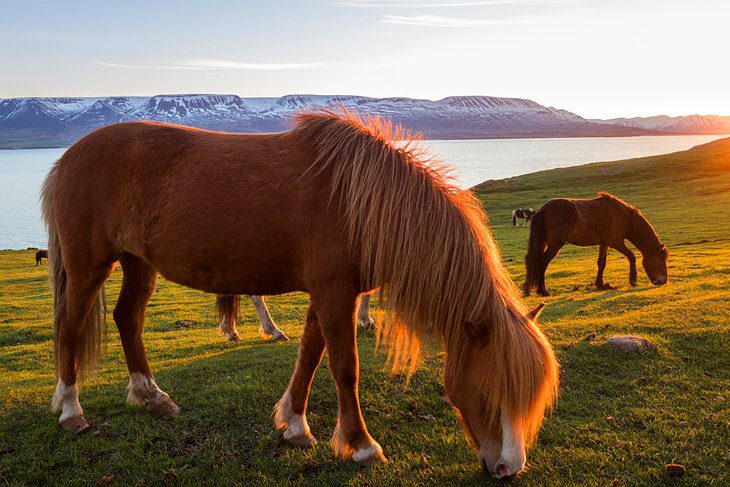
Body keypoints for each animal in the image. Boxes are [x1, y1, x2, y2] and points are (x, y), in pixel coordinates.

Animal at [520, 194, 668, 298]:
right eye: (660, 260)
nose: (663, 281)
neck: (624, 215)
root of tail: (543, 210)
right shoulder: (616, 242)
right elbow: (632, 257)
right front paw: (633, 280)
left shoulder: (604, 243)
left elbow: (601, 263)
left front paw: (600, 284)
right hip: (555, 245)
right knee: (542, 262)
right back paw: (542, 290)